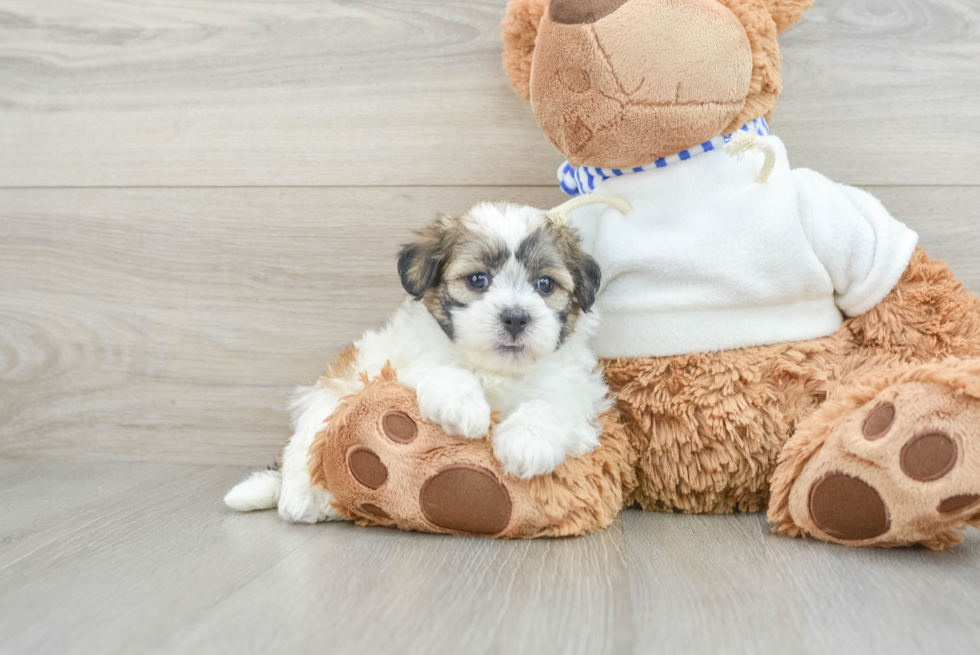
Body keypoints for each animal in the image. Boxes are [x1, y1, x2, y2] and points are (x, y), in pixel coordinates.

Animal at [226, 202, 608, 524]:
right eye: (477, 279)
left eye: (545, 284)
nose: (515, 317)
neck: (496, 371)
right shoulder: (400, 364)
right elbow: (442, 368)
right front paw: (464, 406)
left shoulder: (576, 391)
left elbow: (553, 404)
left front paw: (527, 443)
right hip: (327, 398)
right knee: (302, 450)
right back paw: (303, 499)